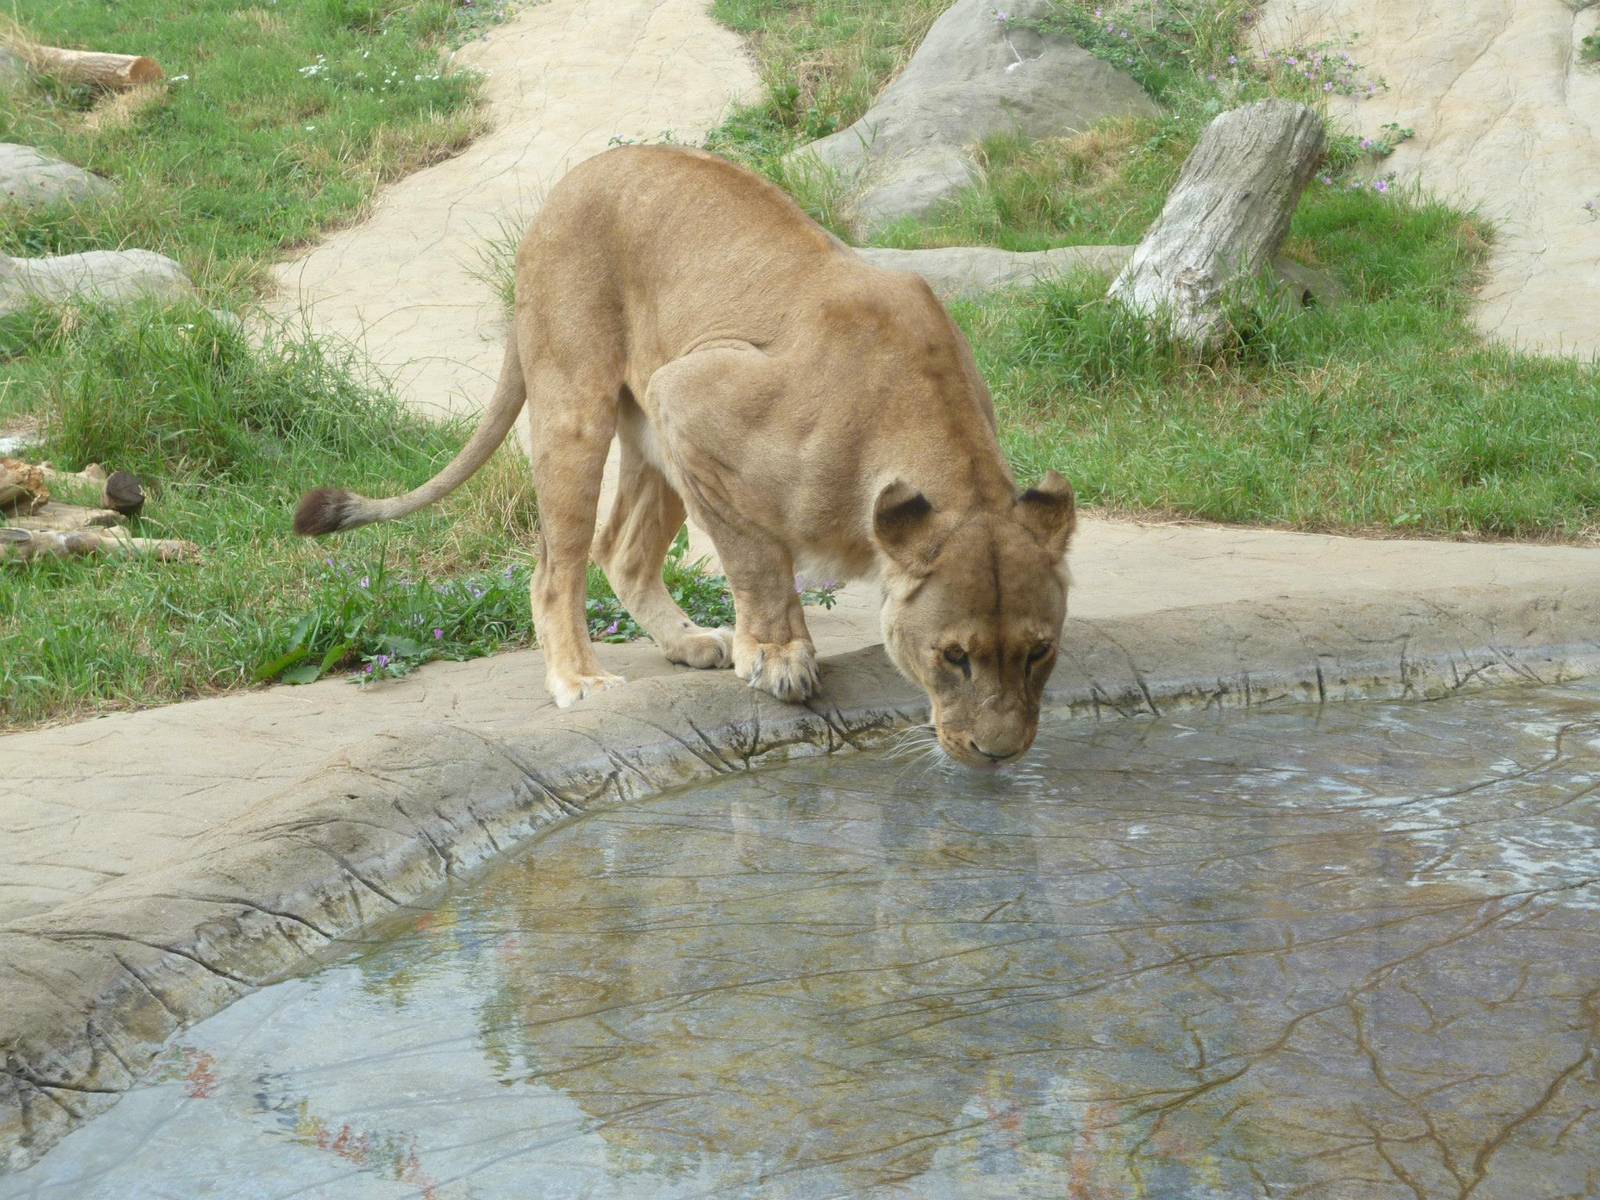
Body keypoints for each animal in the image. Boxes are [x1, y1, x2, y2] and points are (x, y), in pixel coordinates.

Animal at [294, 145, 1076, 768]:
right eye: (953, 657)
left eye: (1039, 651)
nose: (1000, 754)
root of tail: (571, 180)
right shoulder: (692, 399)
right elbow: (759, 562)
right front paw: (779, 659)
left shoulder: (682, 418)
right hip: (580, 406)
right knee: (557, 566)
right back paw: (580, 681)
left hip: (652, 431)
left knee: (622, 550)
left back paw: (690, 643)